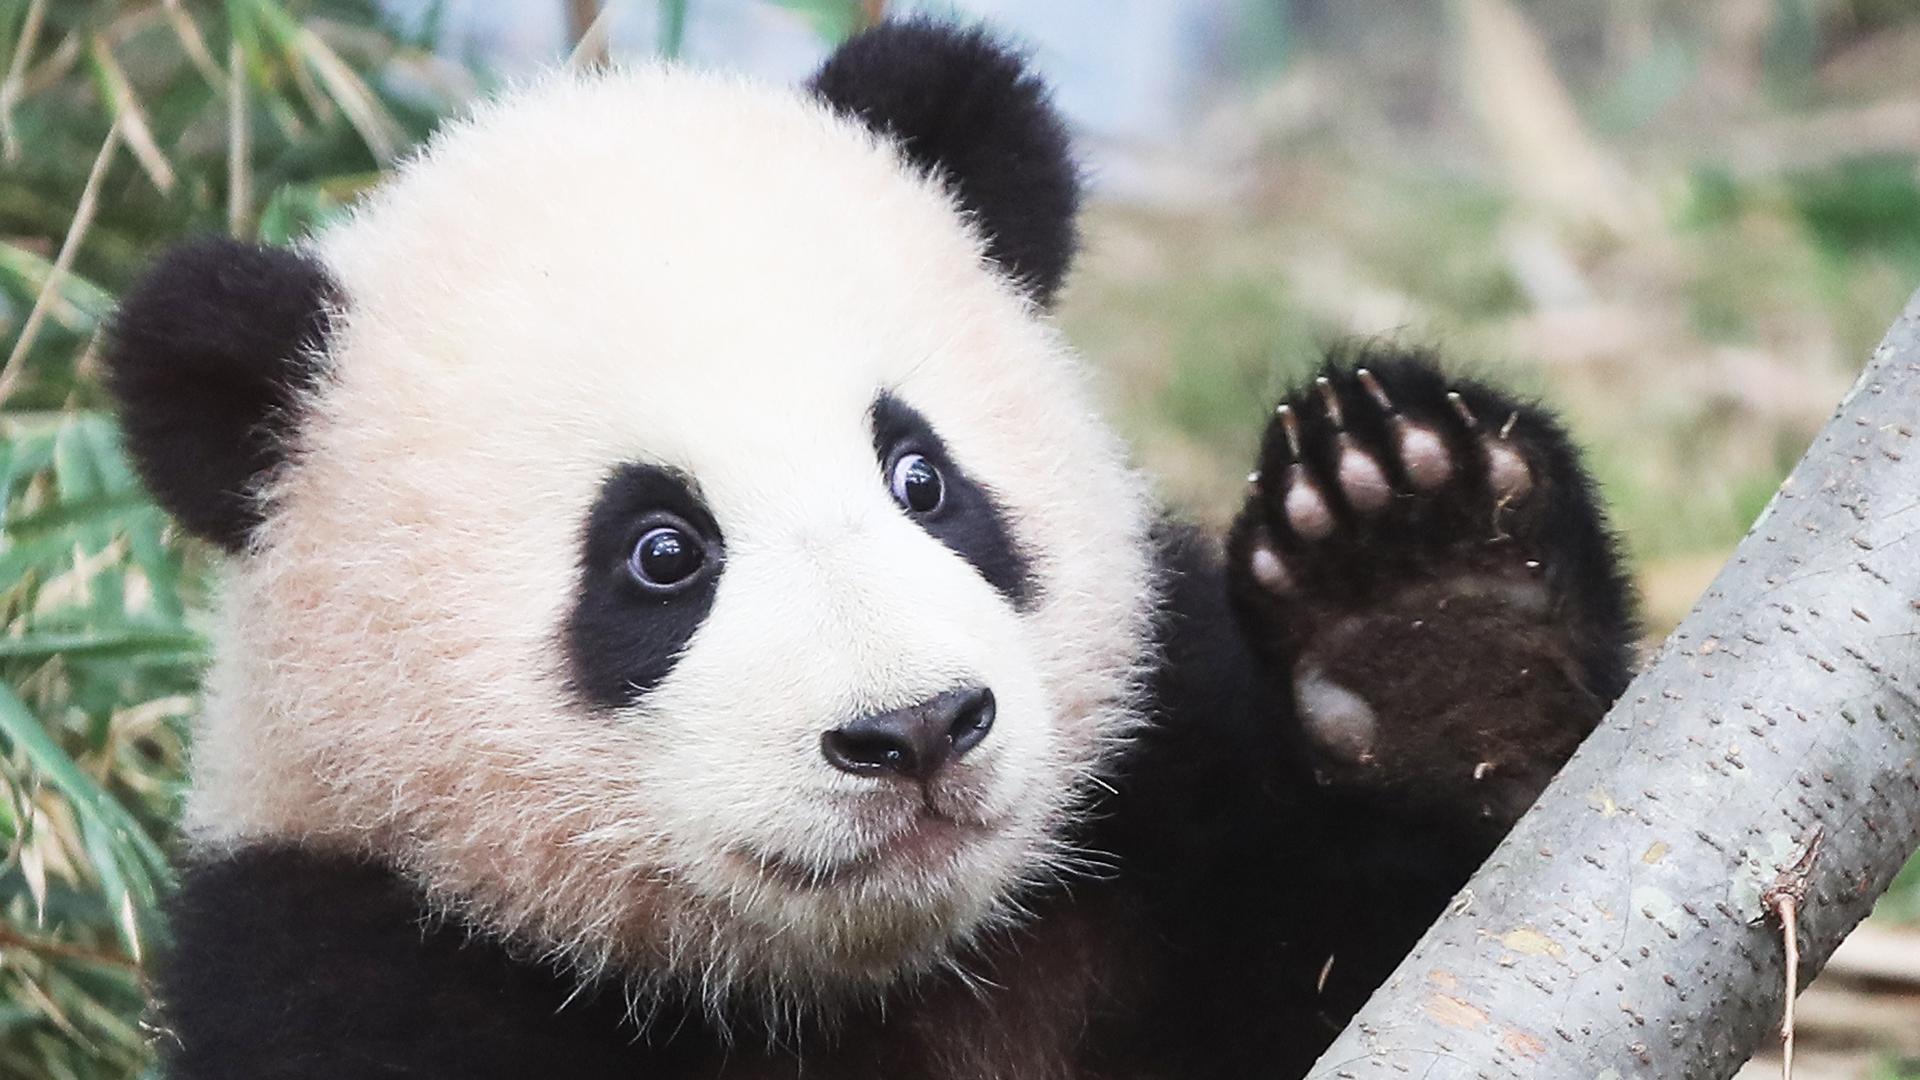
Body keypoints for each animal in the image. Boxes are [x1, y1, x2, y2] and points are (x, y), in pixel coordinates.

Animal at [105, 16, 1635, 1076]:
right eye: (661, 555)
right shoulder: (345, 948)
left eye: (921, 478)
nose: (915, 731)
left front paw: (1430, 607)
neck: (885, 974)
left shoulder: (1174, 811)